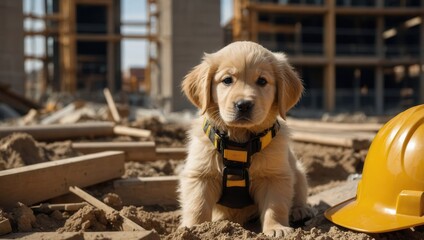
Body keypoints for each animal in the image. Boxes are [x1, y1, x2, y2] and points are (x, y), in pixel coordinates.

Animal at [177, 40, 314, 236]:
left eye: (262, 81)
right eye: (227, 80)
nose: (243, 105)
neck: (239, 142)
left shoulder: (275, 177)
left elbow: (275, 206)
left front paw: (276, 228)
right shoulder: (201, 175)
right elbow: (198, 205)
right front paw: (195, 228)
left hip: (298, 171)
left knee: (300, 192)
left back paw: (300, 210)